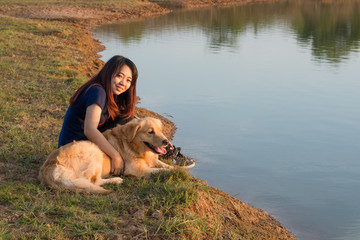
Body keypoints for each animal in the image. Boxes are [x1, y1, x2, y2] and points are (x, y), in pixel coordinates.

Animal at [39, 117, 174, 194]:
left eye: (161, 131)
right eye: (150, 132)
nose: (166, 142)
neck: (134, 145)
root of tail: (47, 168)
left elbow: (165, 165)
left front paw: (175, 168)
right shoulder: (136, 169)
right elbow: (159, 170)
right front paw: (173, 172)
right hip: (94, 151)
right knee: (95, 181)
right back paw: (116, 180)